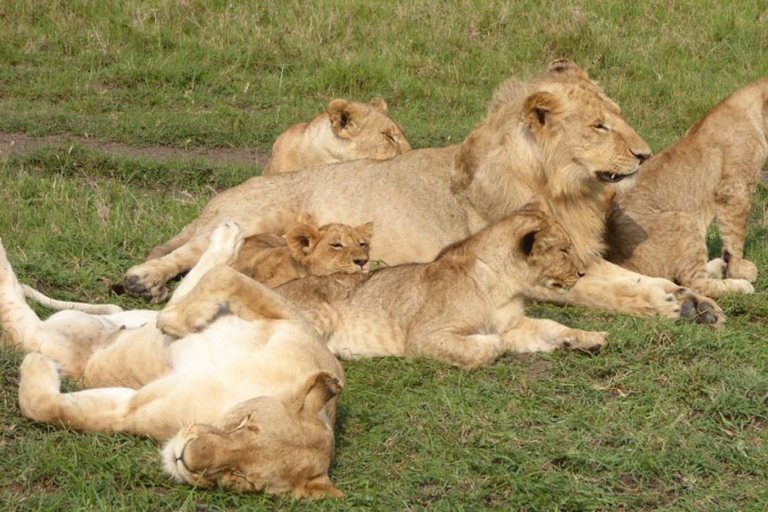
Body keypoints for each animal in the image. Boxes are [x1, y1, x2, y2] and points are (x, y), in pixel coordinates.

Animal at [2, 223, 344, 496]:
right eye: (245, 424)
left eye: (240, 478)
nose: (185, 458)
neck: (246, 390)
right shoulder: (296, 325)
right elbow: (223, 278)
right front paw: (176, 322)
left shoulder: (130, 410)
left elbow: (48, 407)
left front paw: (39, 365)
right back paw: (226, 239)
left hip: (47, 335)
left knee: (18, 320)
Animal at [123, 60, 724, 324]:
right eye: (600, 126)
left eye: (617, 118)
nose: (644, 154)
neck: (563, 188)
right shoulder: (537, 272)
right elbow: (609, 292)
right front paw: (671, 304)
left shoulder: (583, 253)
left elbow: (633, 276)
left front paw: (692, 300)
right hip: (251, 217)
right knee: (185, 251)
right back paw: (140, 281)